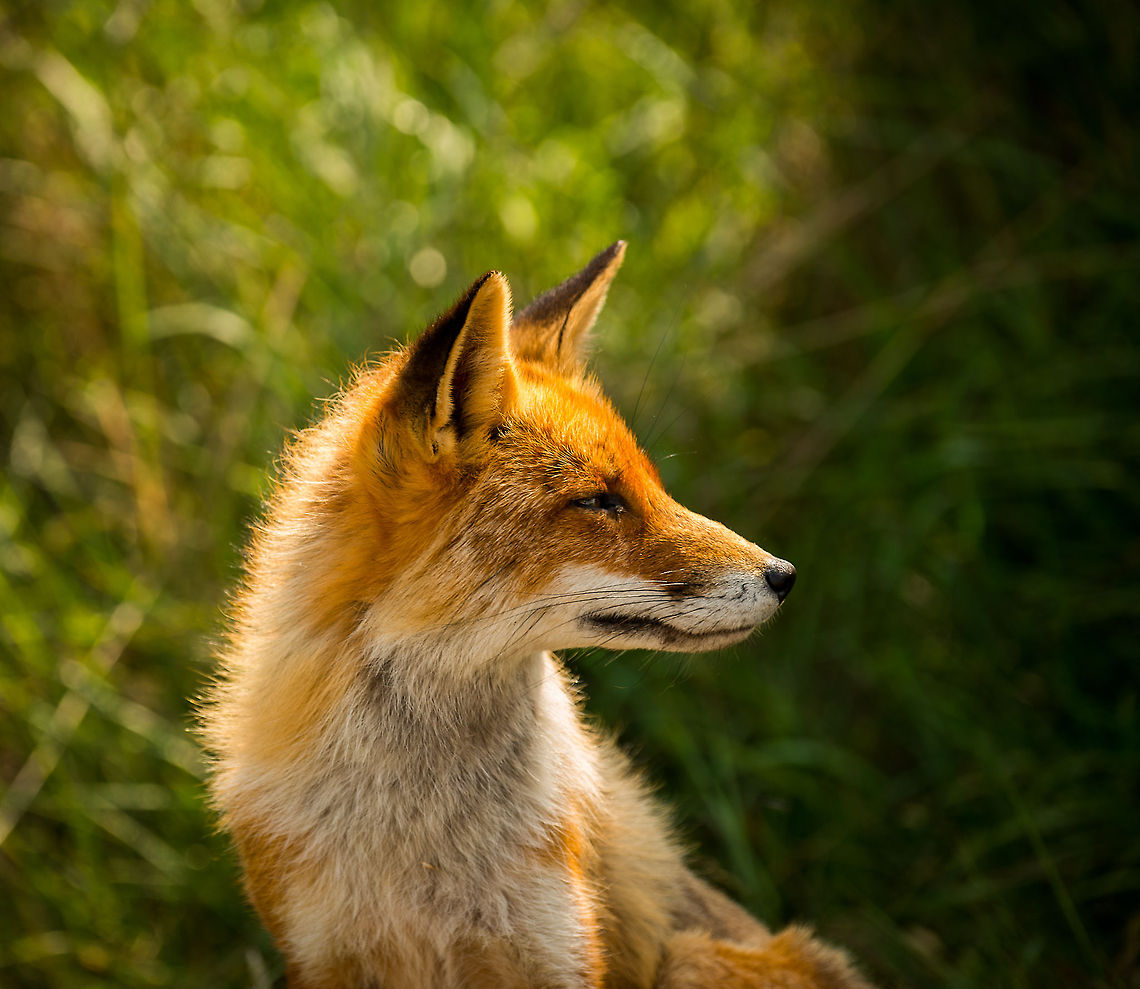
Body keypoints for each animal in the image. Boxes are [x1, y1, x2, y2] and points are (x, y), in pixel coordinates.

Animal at [200, 242, 874, 989]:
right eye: (601, 500)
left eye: (653, 488)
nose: (785, 576)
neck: (423, 843)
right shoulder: (326, 954)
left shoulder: (555, 949)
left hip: (694, 959)